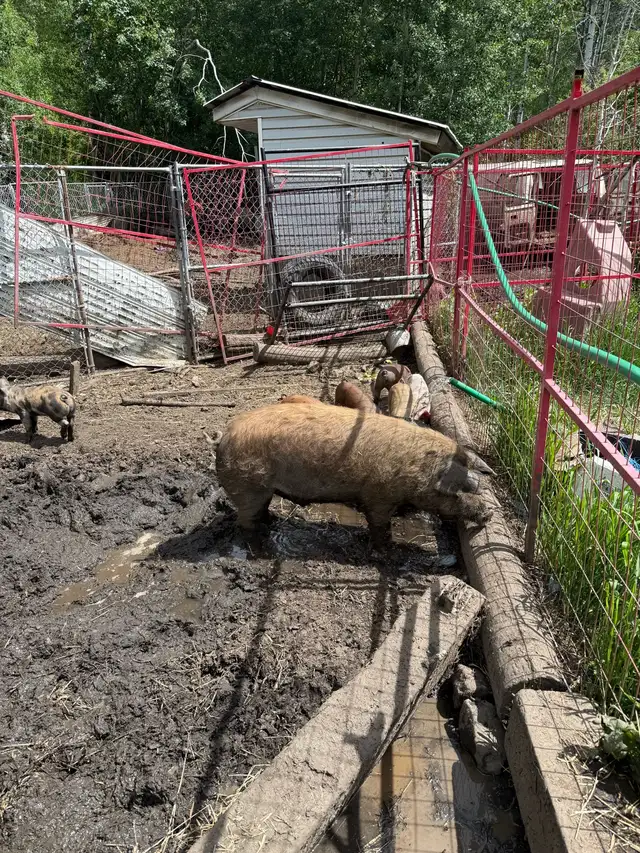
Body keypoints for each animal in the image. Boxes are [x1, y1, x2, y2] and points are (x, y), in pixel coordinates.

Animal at [216, 402, 494, 551]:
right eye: (461, 490)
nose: (489, 514)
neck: (419, 471)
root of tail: (224, 437)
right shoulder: (379, 495)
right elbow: (379, 524)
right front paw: (385, 550)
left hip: (260, 489)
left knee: (260, 512)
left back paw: (271, 522)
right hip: (248, 487)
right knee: (245, 521)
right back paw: (257, 547)